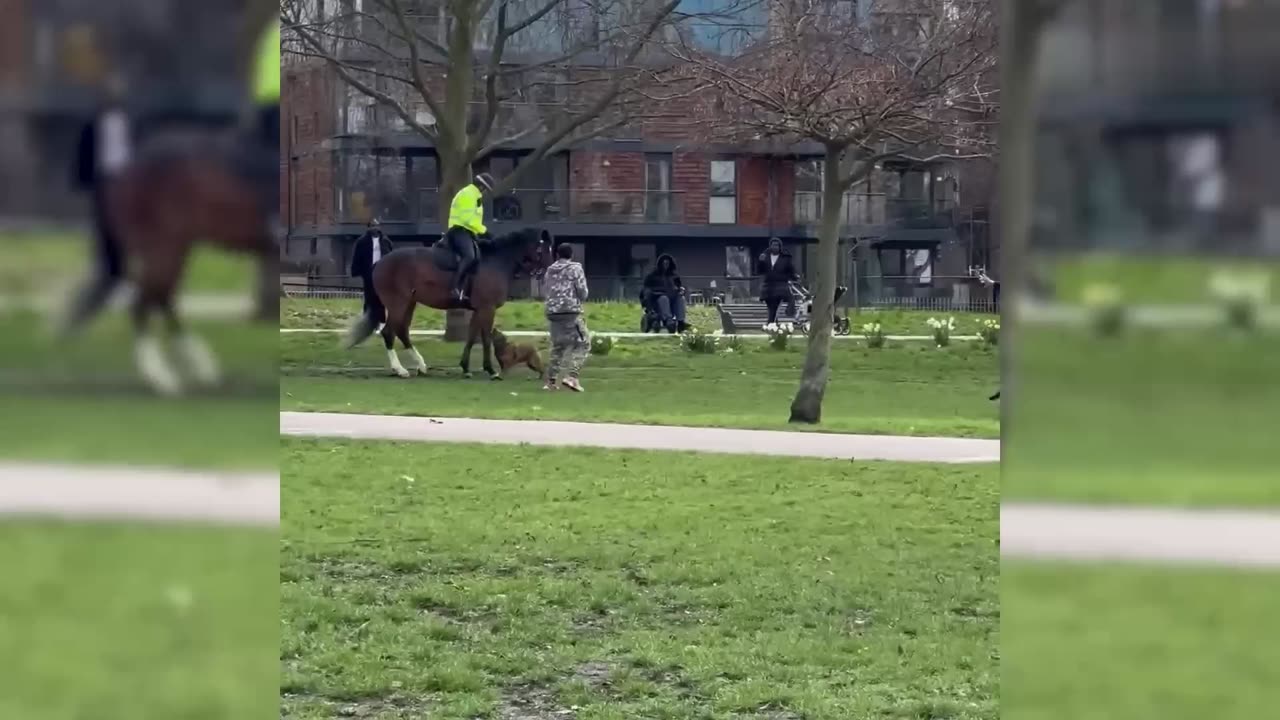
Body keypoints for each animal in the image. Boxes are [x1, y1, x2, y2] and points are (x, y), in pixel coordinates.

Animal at [345, 226, 550, 379]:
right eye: (543, 249)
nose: (548, 271)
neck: (496, 260)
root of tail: (380, 263)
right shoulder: (487, 308)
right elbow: (485, 338)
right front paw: (490, 370)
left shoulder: (478, 310)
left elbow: (471, 336)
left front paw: (466, 368)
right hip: (398, 303)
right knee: (389, 332)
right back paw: (400, 369)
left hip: (409, 303)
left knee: (402, 331)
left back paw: (421, 365)